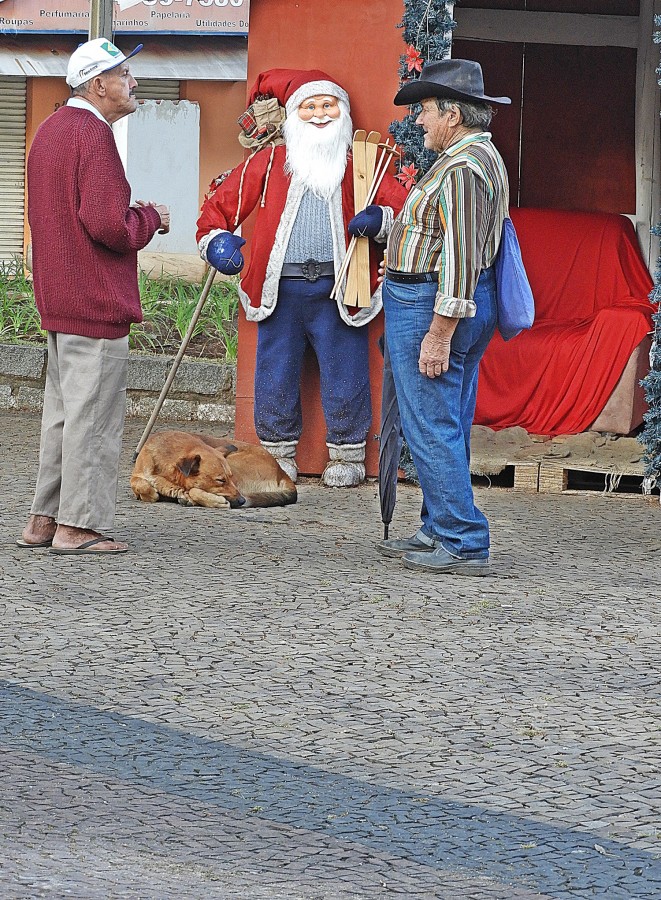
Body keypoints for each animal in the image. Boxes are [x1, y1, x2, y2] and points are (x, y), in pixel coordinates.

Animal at [131, 428, 296, 506]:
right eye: (221, 480)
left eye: (229, 478)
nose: (242, 501)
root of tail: (282, 473)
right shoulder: (137, 475)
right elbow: (141, 484)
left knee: (195, 491)